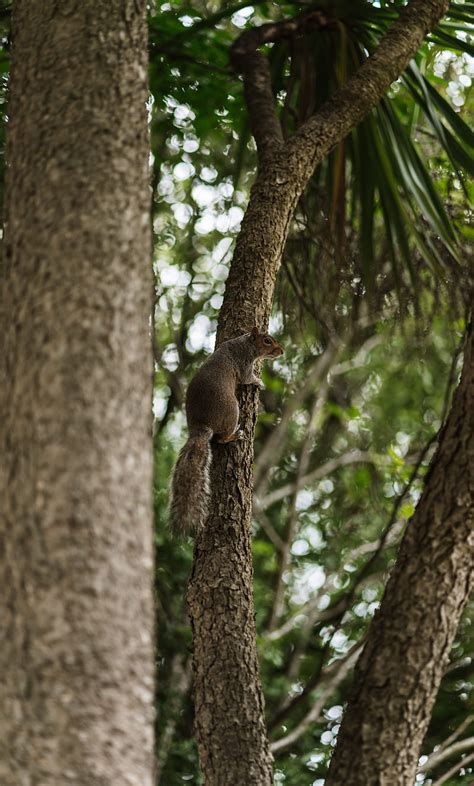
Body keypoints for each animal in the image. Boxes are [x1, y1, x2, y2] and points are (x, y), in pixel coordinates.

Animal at [168, 328, 284, 536]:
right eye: (267, 341)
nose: (282, 351)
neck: (245, 344)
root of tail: (200, 427)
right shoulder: (244, 364)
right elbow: (248, 379)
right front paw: (259, 382)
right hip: (232, 410)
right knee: (222, 438)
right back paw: (235, 435)